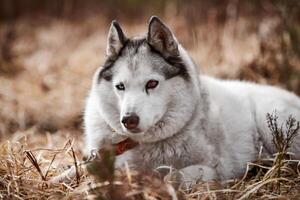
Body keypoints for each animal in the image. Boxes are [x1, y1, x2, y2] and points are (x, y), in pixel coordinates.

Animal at [84, 16, 300, 185]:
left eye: (152, 83)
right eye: (120, 87)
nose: (129, 120)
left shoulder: (215, 168)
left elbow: (174, 177)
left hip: (269, 120)